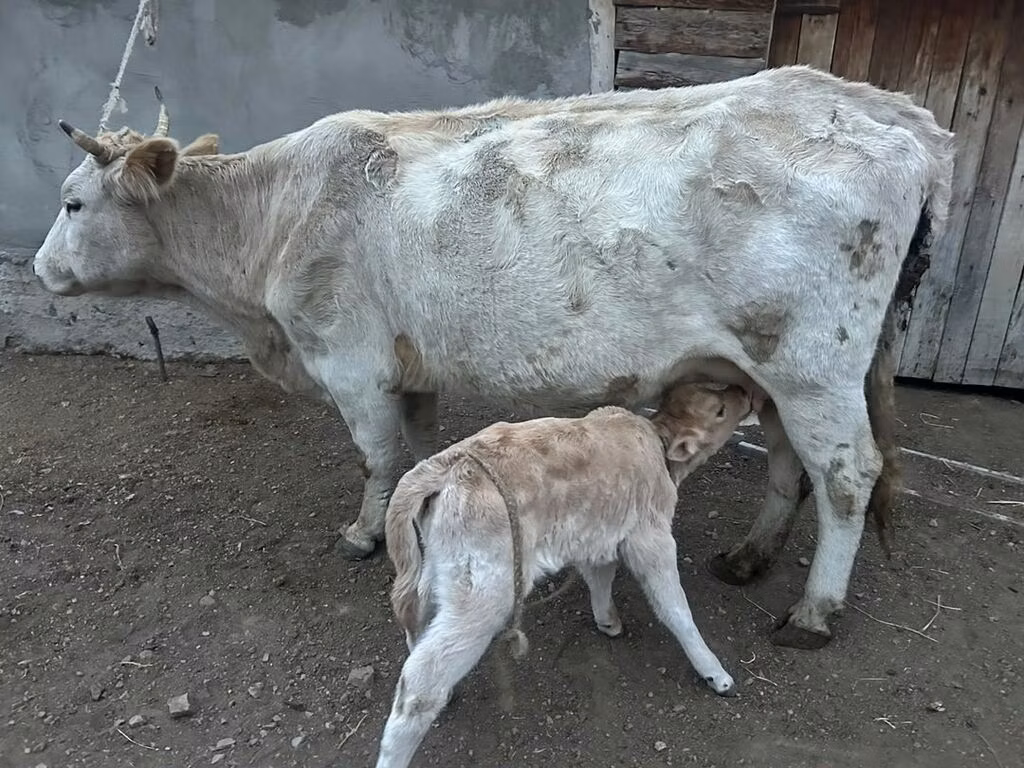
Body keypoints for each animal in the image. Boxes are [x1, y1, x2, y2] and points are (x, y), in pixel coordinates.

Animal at [32, 65, 956, 649]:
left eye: (73, 202)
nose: (39, 269)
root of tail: (888, 113)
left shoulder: (349, 358)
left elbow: (373, 457)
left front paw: (362, 536)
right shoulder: (409, 366)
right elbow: (413, 448)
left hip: (815, 362)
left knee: (847, 475)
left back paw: (815, 612)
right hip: (774, 368)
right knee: (793, 465)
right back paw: (750, 557)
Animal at [375, 381, 754, 768]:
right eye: (720, 411)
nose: (745, 391)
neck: (657, 443)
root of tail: (444, 464)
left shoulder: (599, 533)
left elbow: (601, 575)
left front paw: (607, 620)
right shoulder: (650, 537)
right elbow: (675, 609)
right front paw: (714, 672)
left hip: (441, 571)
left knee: (417, 621)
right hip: (484, 594)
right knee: (419, 683)